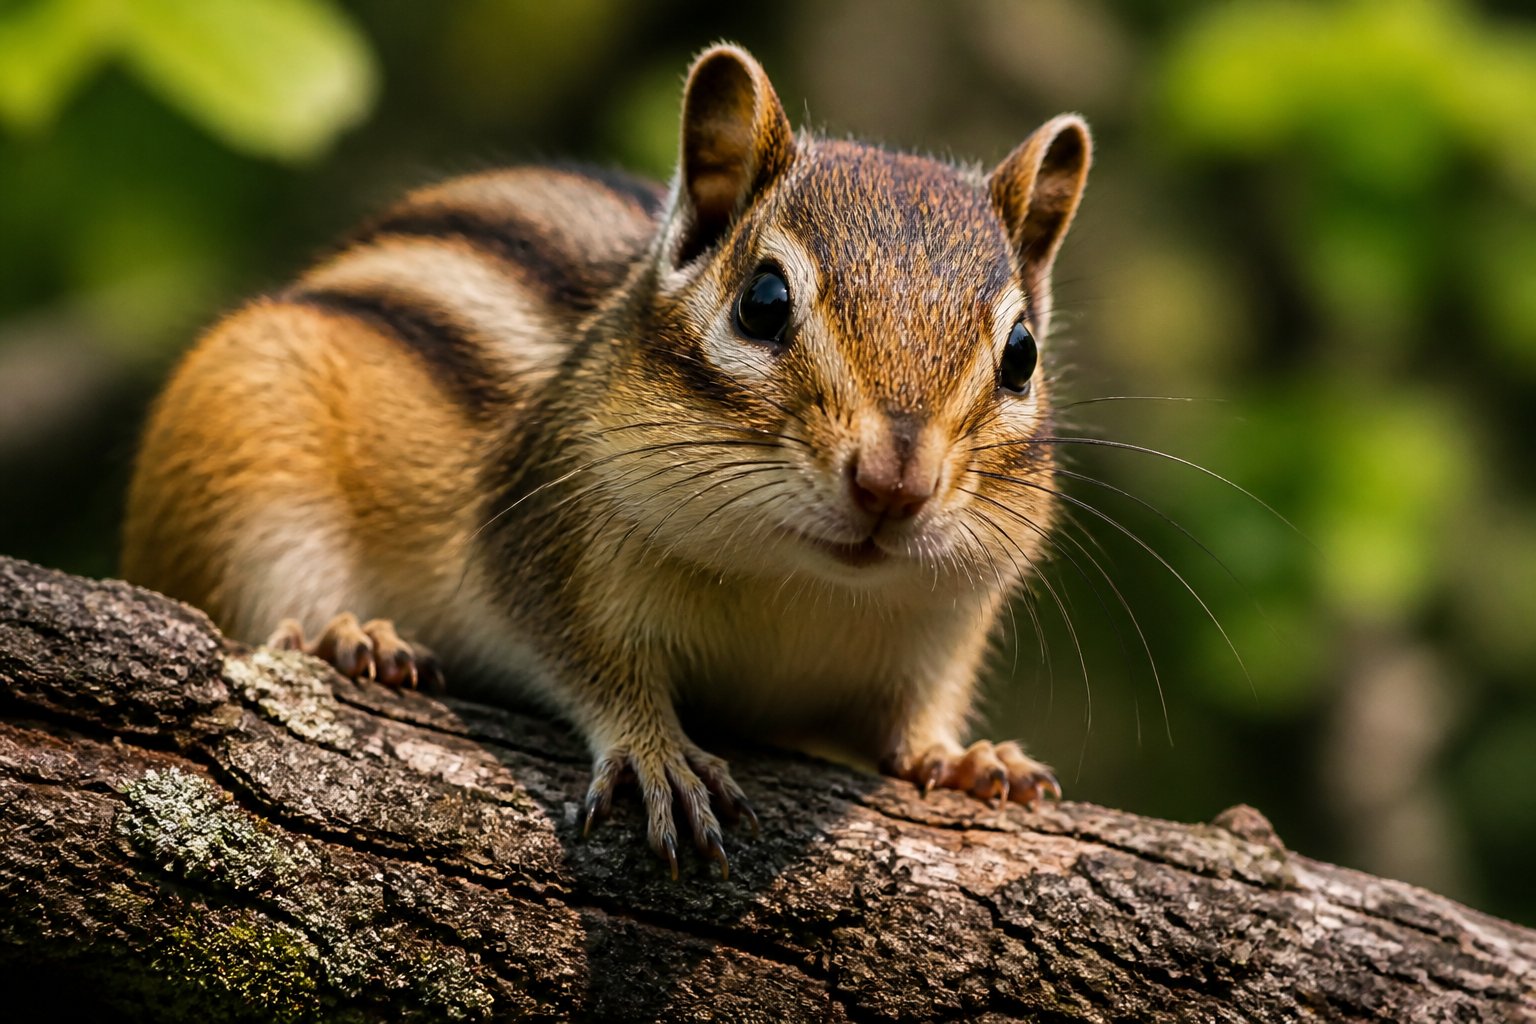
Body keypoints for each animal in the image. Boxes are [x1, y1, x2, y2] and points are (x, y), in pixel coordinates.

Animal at [122, 44, 1092, 879]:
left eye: (1021, 355)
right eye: (763, 302)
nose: (894, 483)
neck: (799, 585)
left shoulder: (944, 628)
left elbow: (914, 718)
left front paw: (965, 757)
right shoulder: (553, 542)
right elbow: (588, 660)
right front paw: (657, 753)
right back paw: (351, 635)